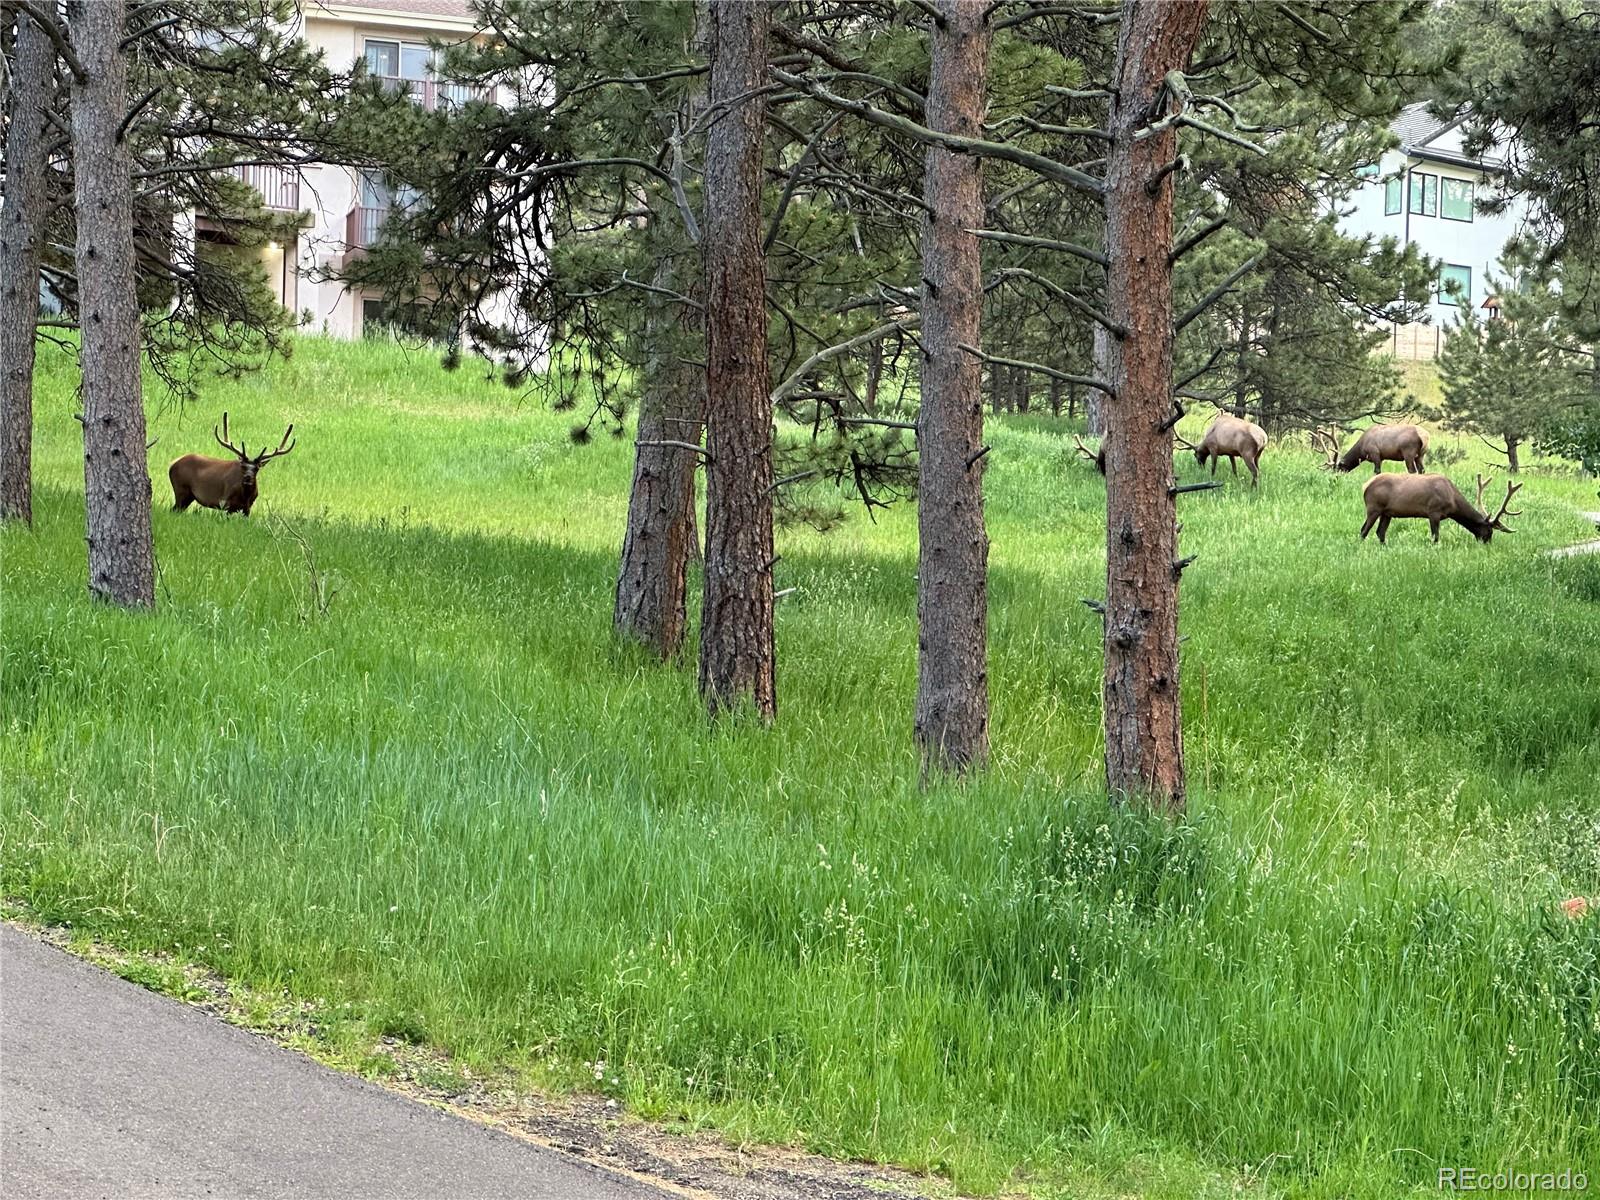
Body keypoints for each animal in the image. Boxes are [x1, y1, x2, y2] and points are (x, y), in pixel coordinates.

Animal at [172, 412, 300, 518]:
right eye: (243, 466)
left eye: (257, 468)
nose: (248, 477)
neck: (245, 497)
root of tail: (172, 464)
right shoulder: (227, 504)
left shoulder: (248, 508)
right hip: (181, 489)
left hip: (188, 496)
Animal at [1363, 473, 1523, 544]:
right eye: (1489, 531)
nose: (1488, 544)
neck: (1453, 503)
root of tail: (1365, 486)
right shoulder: (1434, 511)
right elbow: (1435, 537)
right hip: (1373, 508)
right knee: (1364, 530)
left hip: (1387, 513)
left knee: (1380, 532)